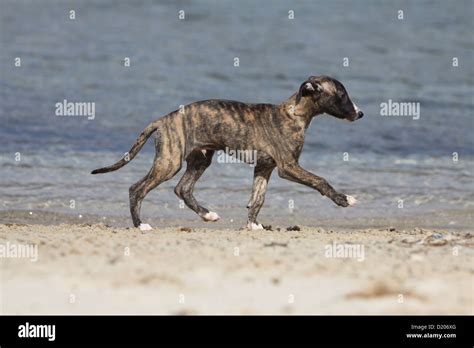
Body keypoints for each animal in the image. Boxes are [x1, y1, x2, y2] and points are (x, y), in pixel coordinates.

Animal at [91, 75, 362, 230]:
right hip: (169, 162)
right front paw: (344, 199)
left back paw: (207, 215)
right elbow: (320, 180)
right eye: (342, 94)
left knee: (182, 189)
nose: (360, 113)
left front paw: (253, 225)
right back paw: (141, 225)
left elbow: (258, 198)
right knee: (136, 189)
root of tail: (163, 120)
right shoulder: (288, 167)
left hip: (200, 159)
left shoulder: (264, 167)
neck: (294, 113)